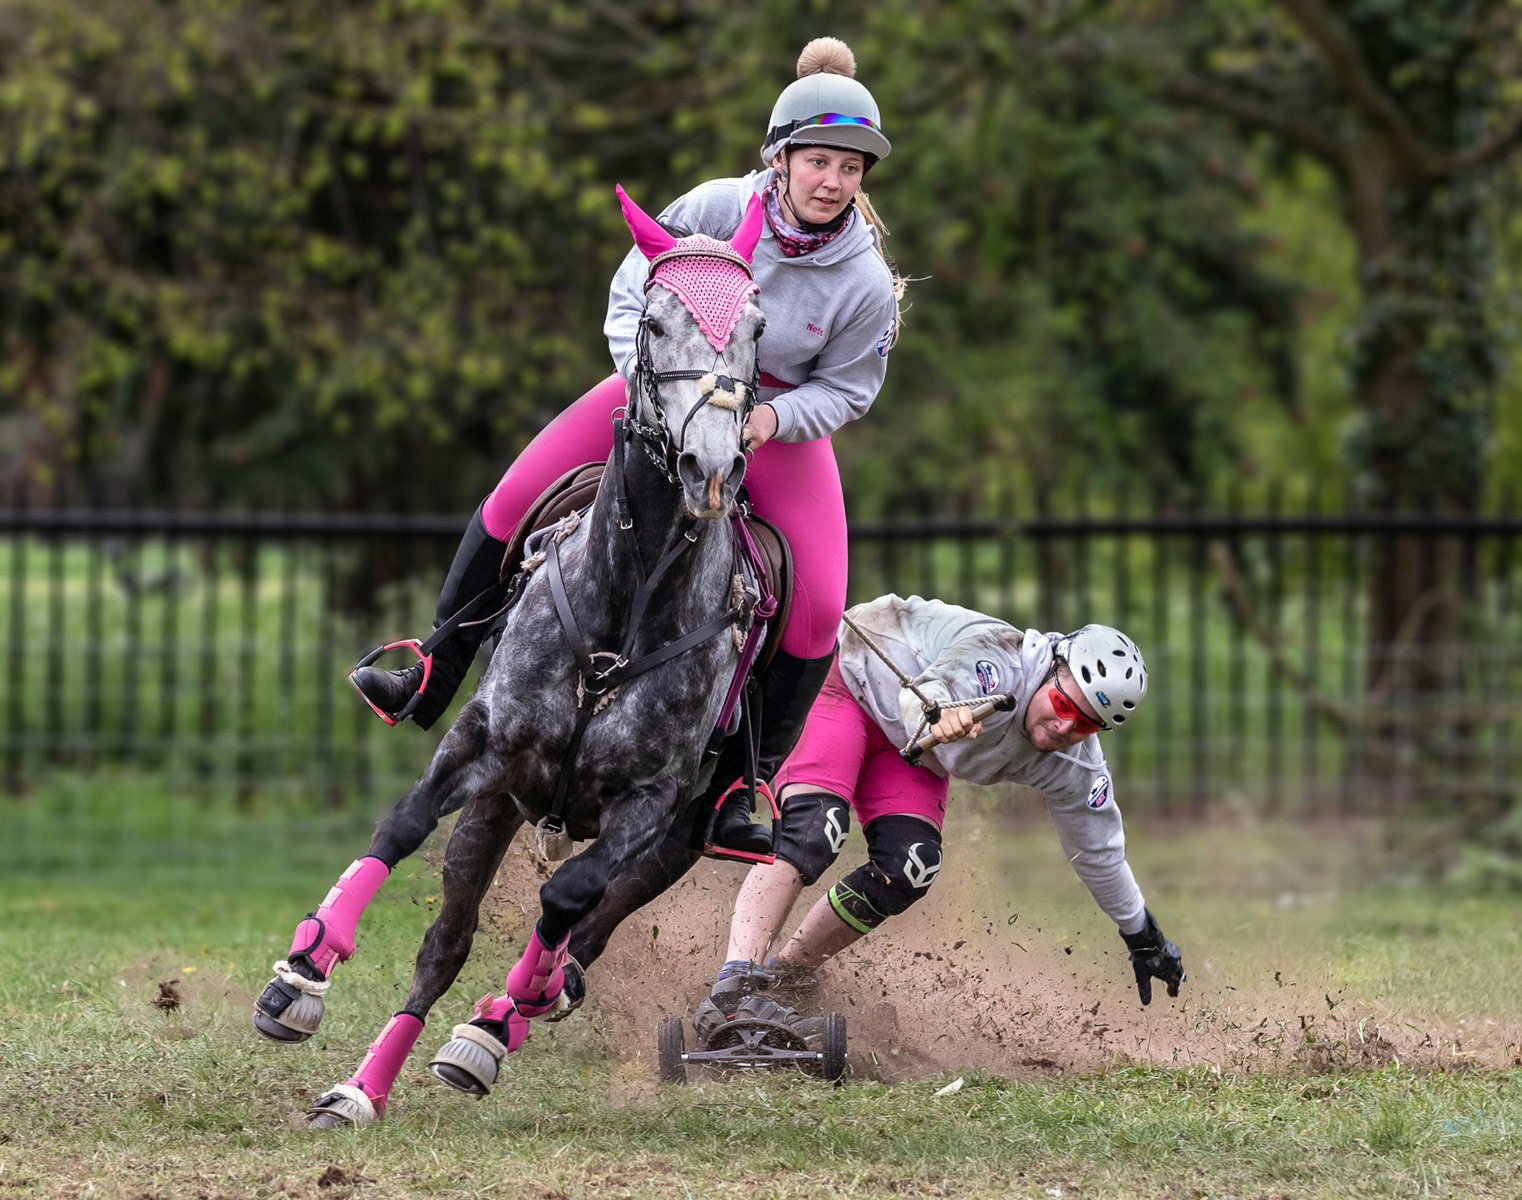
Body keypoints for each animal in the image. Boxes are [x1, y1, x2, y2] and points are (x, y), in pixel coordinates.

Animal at [256, 186, 770, 1127]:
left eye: (756, 326)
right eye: (654, 323)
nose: (710, 466)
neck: (624, 612)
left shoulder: (650, 805)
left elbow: (565, 899)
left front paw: (509, 1008)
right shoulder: (483, 746)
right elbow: (402, 824)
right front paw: (303, 972)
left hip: (683, 835)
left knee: (586, 925)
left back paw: (499, 1022)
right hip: (498, 809)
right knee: (446, 943)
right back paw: (362, 1087)